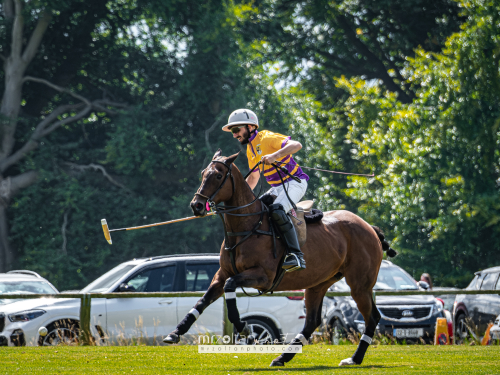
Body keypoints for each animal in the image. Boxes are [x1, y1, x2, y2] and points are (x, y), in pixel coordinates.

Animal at [164, 151, 394, 368]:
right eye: (204, 173)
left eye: (218, 175)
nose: (197, 205)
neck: (247, 226)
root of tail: (369, 227)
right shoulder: (223, 273)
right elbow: (203, 300)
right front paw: (175, 332)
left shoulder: (263, 277)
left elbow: (230, 289)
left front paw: (245, 329)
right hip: (319, 283)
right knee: (312, 321)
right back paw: (282, 357)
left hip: (359, 284)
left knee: (372, 317)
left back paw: (354, 358)